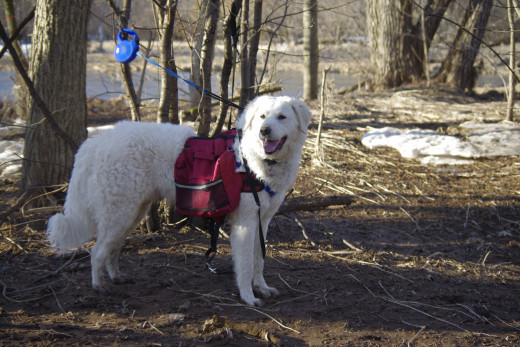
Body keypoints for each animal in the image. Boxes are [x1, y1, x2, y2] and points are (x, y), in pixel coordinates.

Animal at [46, 96, 310, 308]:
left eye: (282, 117)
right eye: (262, 116)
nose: (264, 130)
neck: (252, 160)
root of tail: (97, 141)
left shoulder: (262, 221)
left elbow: (259, 260)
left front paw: (261, 288)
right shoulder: (244, 225)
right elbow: (245, 265)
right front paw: (248, 297)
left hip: (131, 212)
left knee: (112, 248)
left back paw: (116, 276)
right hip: (120, 213)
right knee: (97, 251)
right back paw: (98, 285)